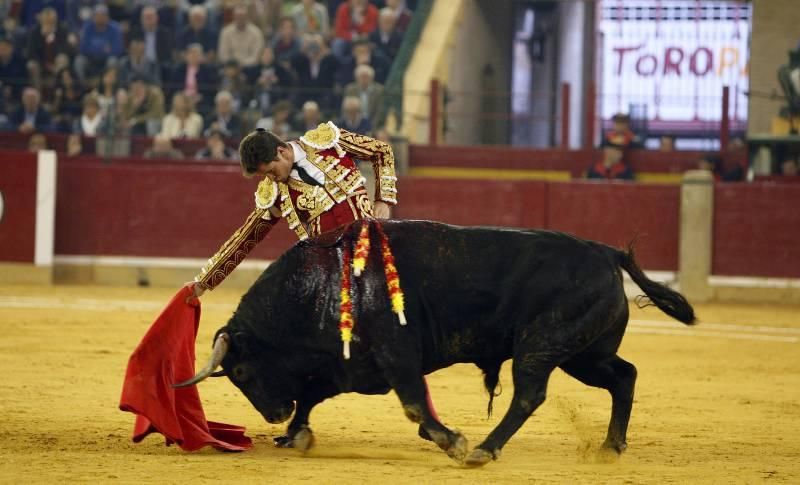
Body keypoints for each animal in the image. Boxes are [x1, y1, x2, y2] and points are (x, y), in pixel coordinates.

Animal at [177, 219, 692, 466]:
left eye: (241, 372)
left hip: (542, 347)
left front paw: (452, 441)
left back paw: (484, 449)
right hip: (585, 354)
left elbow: (411, 404)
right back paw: (610, 447)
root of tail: (607, 253)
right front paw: (297, 434)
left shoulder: (396, 357)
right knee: (624, 376)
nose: (271, 414)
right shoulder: (347, 366)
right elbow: (312, 396)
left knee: (530, 394)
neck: (320, 284)